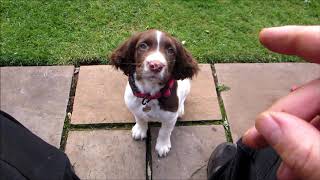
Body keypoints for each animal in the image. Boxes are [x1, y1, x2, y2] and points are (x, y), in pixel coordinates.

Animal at [111, 28, 199, 157]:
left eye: (170, 50)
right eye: (143, 46)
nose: (156, 65)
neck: (149, 95)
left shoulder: (170, 117)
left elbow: (165, 131)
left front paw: (162, 146)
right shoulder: (134, 107)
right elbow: (140, 119)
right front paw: (140, 130)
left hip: (187, 85)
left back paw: (181, 109)